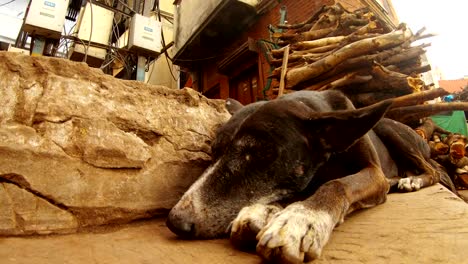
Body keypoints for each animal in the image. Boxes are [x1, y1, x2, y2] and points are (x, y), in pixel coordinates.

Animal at [166, 89, 448, 262]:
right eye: (213, 152)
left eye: (260, 153)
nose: (175, 221)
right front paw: (261, 212)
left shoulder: (373, 173)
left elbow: (337, 184)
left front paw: (301, 220)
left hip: (390, 129)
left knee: (433, 171)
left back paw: (412, 180)